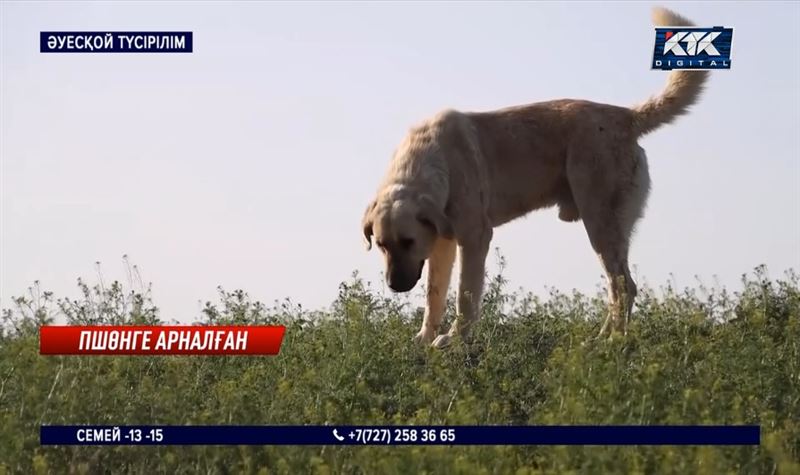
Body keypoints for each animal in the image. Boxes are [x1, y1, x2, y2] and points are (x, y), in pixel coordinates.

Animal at [360, 7, 708, 350]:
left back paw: (611, 343)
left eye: (408, 241)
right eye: (381, 245)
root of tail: (626, 116)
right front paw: (424, 338)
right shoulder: (442, 245)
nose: (394, 286)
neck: (432, 159)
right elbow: (434, 297)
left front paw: (455, 339)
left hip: (600, 224)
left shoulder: (474, 237)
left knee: (623, 287)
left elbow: (465, 296)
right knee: (620, 287)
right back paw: (600, 340)